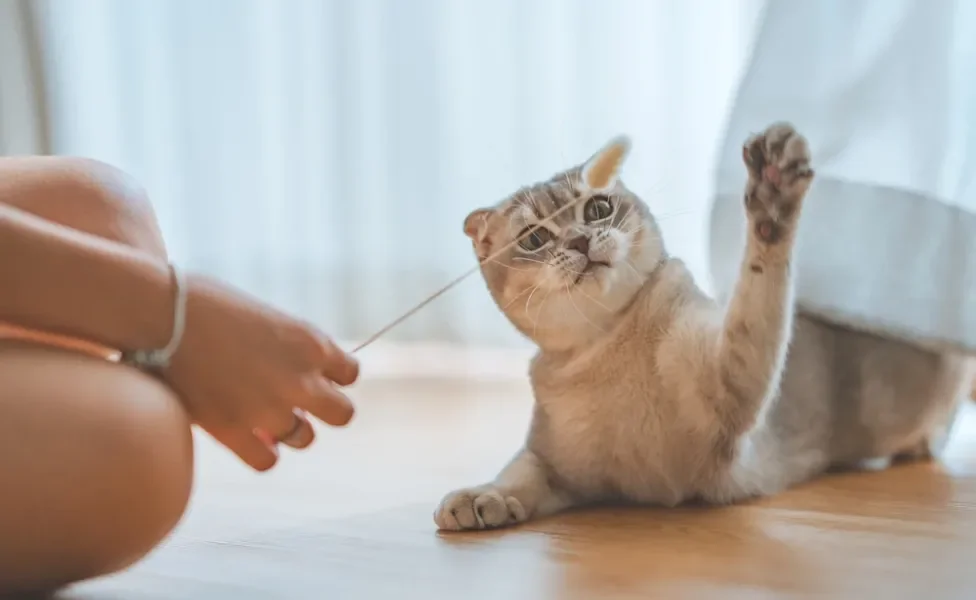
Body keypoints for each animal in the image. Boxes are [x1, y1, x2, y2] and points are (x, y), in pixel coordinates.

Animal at [436, 120, 976, 528]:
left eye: (597, 207)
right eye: (533, 238)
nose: (580, 242)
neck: (608, 349)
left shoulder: (730, 391)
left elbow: (757, 292)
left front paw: (772, 193)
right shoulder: (554, 467)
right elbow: (516, 476)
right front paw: (479, 499)